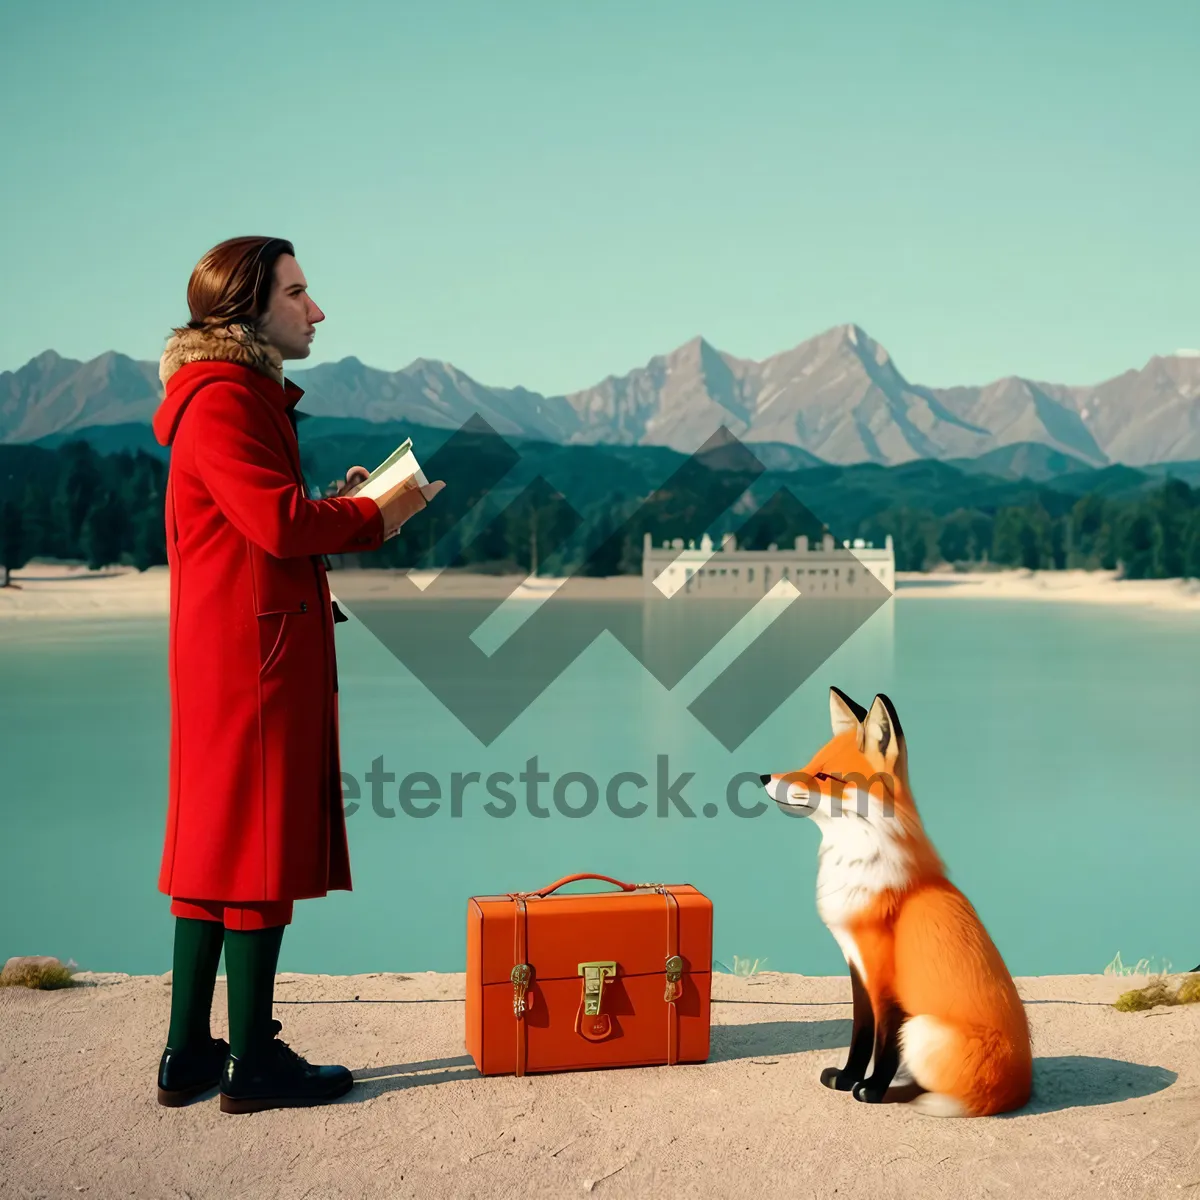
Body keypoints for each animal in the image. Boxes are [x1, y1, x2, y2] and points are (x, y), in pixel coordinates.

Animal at [758, 691, 1032, 1118]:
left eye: (824, 776)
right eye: (809, 764)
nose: (763, 778)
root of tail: (1021, 1089)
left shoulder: (886, 973)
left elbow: (883, 1041)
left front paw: (871, 1089)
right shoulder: (857, 964)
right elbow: (861, 1032)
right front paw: (847, 1078)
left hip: (920, 1029)